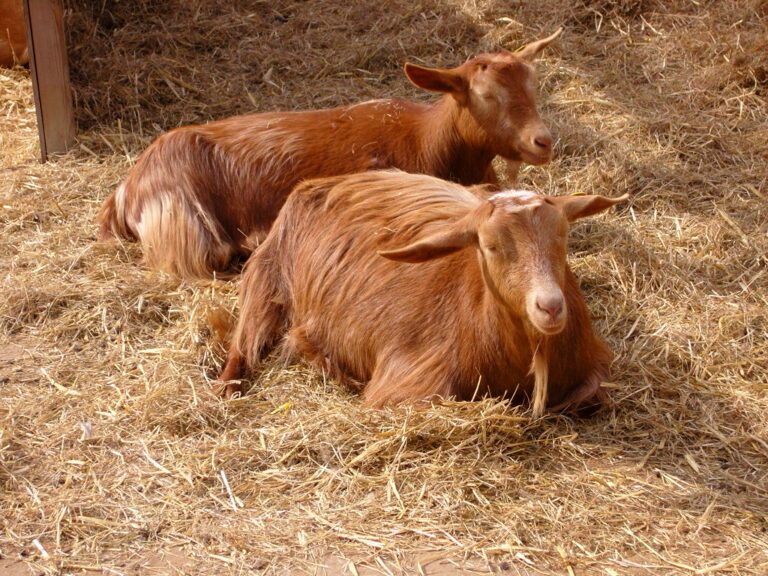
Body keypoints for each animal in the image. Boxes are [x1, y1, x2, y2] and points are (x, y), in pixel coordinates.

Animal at [97, 29, 562, 280]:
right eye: (485, 95)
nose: (543, 141)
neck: (428, 139)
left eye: (534, 85)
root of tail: (126, 190)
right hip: (186, 222)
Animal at [216, 170, 627, 417]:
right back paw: (228, 390)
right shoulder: (407, 381)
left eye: (563, 236)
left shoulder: (595, 367)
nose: (550, 307)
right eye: (490, 246)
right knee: (243, 343)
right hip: (267, 280)